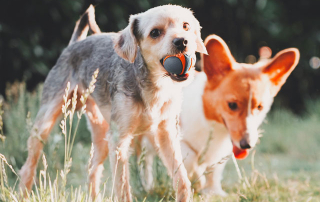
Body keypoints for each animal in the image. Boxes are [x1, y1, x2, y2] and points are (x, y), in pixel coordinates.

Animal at [18, 5, 206, 202]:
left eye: (186, 26)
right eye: (155, 33)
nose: (182, 41)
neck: (154, 85)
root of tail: (74, 44)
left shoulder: (166, 134)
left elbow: (182, 178)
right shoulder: (119, 140)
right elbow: (123, 188)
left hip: (101, 134)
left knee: (92, 169)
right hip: (44, 125)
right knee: (29, 165)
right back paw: (23, 193)